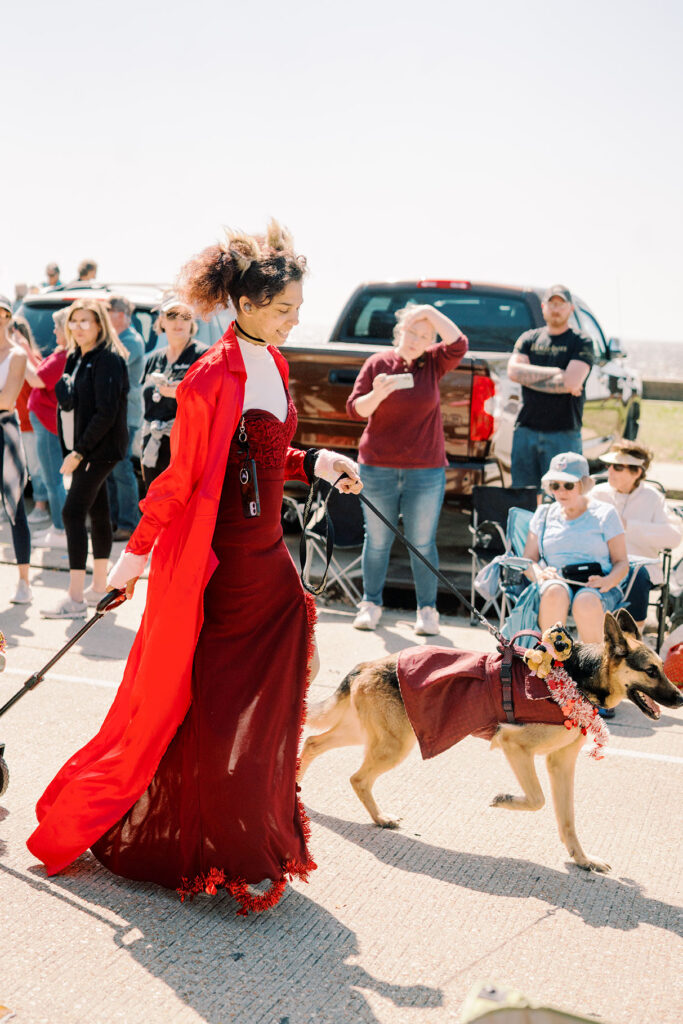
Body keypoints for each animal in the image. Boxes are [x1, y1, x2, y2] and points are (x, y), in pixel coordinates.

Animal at [301, 606, 683, 872]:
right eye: (651, 671)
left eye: (661, 668)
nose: (680, 698)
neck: (577, 677)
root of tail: (366, 664)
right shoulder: (516, 747)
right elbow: (537, 799)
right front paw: (505, 800)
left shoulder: (561, 764)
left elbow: (567, 819)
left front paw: (582, 860)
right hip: (393, 744)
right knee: (356, 776)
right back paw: (376, 817)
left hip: (371, 735)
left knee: (313, 743)